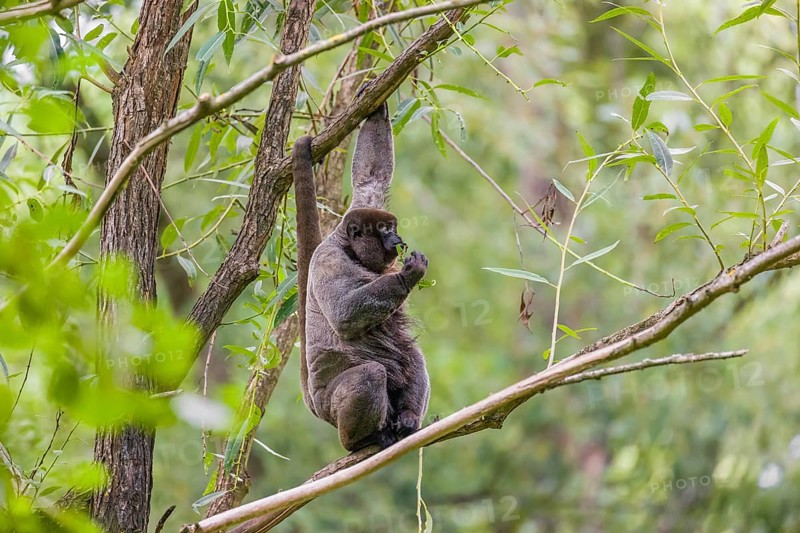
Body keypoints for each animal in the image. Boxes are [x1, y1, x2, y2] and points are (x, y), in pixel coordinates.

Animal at [293, 104, 431, 451]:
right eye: (383, 230)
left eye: (392, 227)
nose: (396, 238)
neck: (349, 248)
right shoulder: (327, 261)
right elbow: (344, 316)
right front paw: (409, 274)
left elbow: (371, 178)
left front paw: (376, 109)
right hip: (332, 406)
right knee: (371, 373)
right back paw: (361, 440)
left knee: (411, 354)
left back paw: (407, 419)